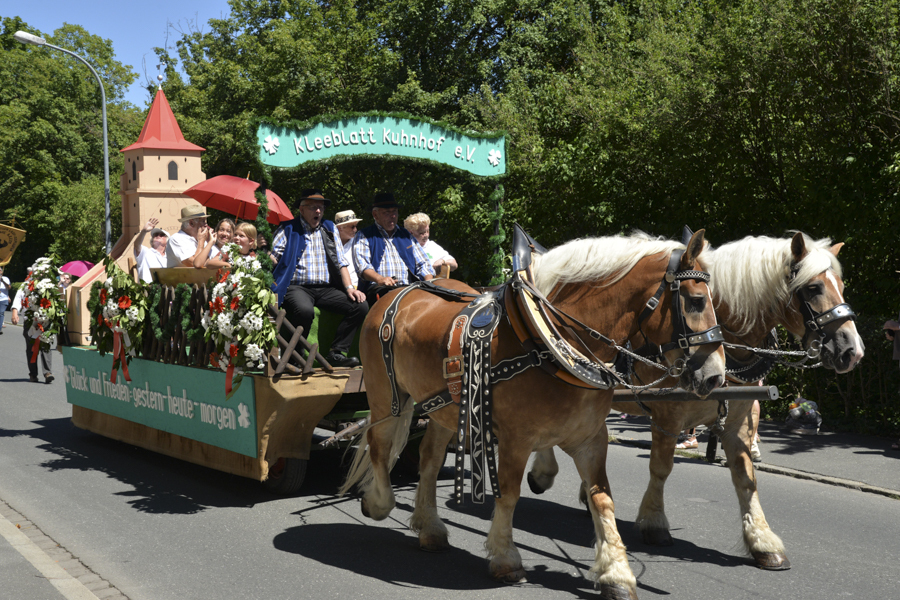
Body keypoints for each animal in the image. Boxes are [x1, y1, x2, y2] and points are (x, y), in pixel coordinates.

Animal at [342, 229, 728, 596]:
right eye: (696, 301)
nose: (715, 376)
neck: (552, 345)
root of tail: (398, 292)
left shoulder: (591, 438)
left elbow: (602, 498)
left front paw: (616, 573)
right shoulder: (516, 438)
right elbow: (509, 493)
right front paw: (505, 557)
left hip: (446, 408)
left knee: (430, 457)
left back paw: (430, 527)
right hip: (386, 396)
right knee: (378, 442)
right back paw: (378, 502)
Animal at [528, 229, 864, 568]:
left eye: (841, 285)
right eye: (813, 288)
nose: (853, 350)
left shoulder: (740, 419)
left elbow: (746, 476)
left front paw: (762, 539)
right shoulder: (668, 415)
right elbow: (661, 467)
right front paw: (654, 522)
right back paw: (544, 473)